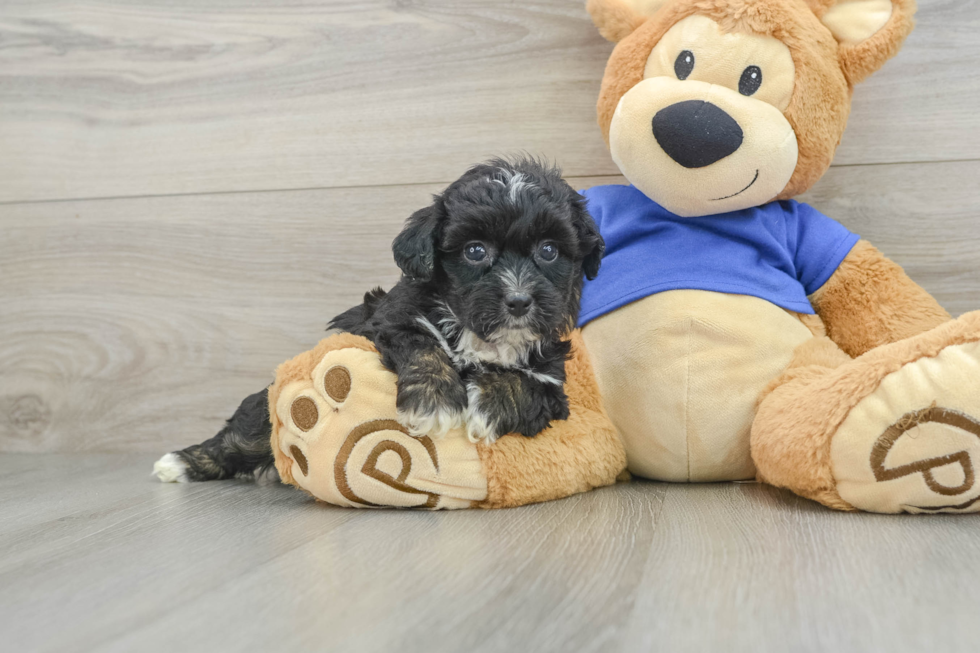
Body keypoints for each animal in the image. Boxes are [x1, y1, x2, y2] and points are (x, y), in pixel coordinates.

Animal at [152, 157, 600, 482]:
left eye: (549, 250)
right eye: (475, 251)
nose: (519, 301)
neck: (480, 336)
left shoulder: (552, 380)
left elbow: (524, 384)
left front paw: (485, 407)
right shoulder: (390, 320)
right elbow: (424, 345)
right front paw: (434, 401)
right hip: (259, 417)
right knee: (241, 435)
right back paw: (178, 463)